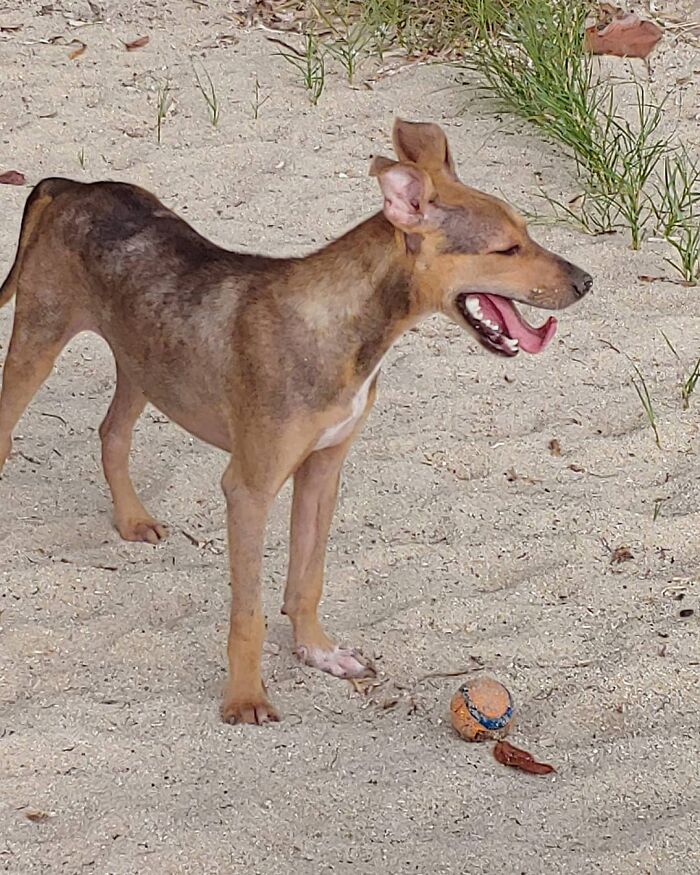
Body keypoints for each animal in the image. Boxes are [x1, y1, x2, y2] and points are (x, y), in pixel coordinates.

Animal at [0, 120, 592, 724]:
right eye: (506, 248)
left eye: (526, 233)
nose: (587, 281)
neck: (341, 325)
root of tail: (72, 185)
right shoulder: (249, 489)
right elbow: (248, 615)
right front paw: (244, 697)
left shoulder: (322, 470)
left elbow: (308, 580)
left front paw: (318, 652)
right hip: (38, 342)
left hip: (143, 361)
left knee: (112, 434)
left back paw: (131, 520)